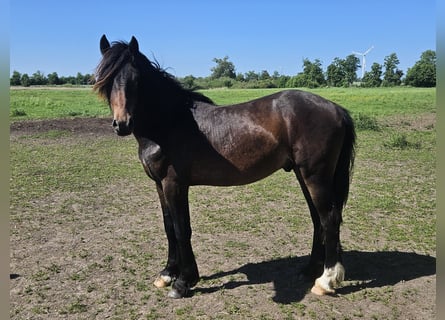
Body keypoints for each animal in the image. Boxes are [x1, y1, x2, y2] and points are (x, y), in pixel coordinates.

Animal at [95, 35, 356, 300]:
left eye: (136, 80)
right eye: (105, 81)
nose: (122, 124)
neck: (169, 123)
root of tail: (336, 109)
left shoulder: (174, 184)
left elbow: (181, 229)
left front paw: (184, 282)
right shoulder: (159, 185)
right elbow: (169, 228)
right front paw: (167, 274)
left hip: (315, 176)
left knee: (329, 219)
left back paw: (325, 280)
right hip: (305, 176)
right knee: (318, 220)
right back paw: (310, 270)